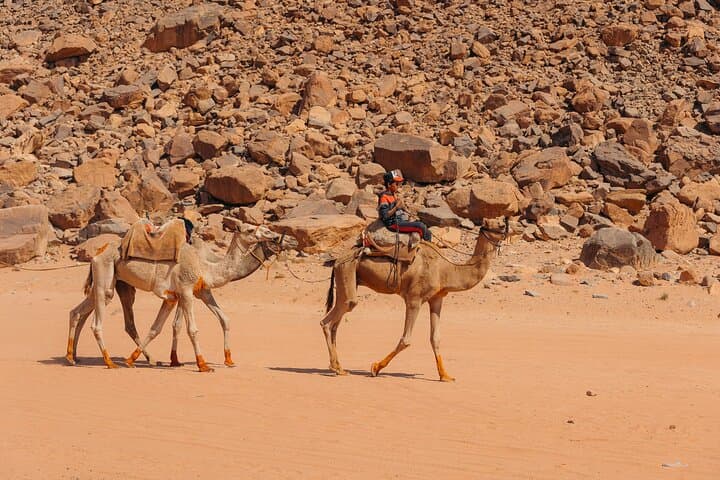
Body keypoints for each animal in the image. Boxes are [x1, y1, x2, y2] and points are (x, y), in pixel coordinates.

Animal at [65, 225, 291, 372]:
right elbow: (191, 329)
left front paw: (228, 360)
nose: (277, 236)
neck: (207, 266)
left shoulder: (188, 293)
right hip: (106, 277)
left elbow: (159, 328)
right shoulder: (186, 290)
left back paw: (72, 357)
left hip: (109, 282)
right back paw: (109, 362)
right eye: (251, 230)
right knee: (97, 322)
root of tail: (98, 253)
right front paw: (203, 365)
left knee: (78, 312)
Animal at [320, 217, 511, 382]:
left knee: (335, 323)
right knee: (329, 321)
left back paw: (337, 366)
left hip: (348, 279)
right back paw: (337, 368)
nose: (510, 229)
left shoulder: (437, 299)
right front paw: (375, 367)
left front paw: (445, 376)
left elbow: (435, 338)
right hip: (347, 272)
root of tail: (337, 261)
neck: (445, 270)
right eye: (501, 225)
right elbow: (406, 339)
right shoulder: (414, 299)